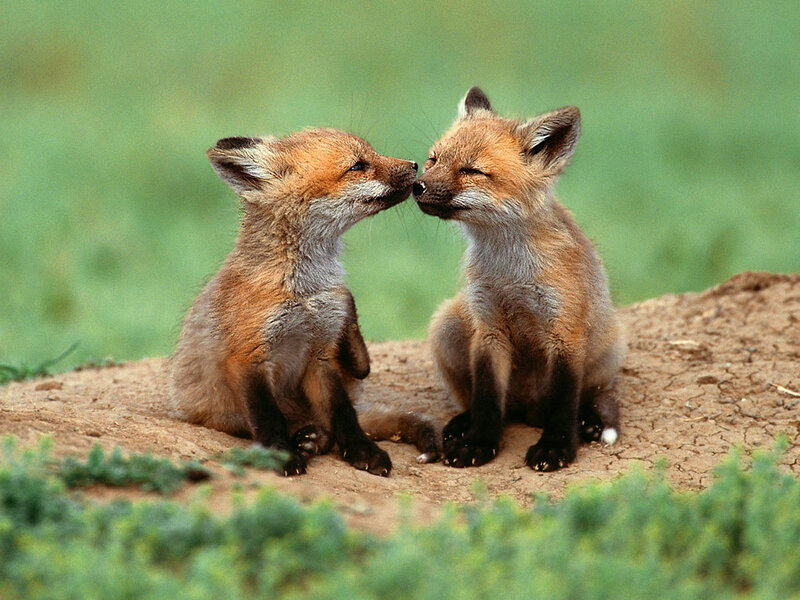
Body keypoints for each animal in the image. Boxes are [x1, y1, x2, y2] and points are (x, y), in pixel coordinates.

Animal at [170, 128, 440, 477]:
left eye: (371, 153)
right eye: (357, 166)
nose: (415, 165)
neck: (305, 292)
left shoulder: (320, 354)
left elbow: (343, 414)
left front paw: (362, 451)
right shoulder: (247, 357)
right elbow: (268, 418)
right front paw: (281, 456)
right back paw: (306, 439)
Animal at [412, 87, 625, 471]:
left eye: (471, 170)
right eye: (433, 160)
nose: (416, 186)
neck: (509, 271)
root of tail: (527, 408)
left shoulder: (565, 332)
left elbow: (562, 403)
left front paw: (556, 448)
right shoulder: (488, 326)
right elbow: (486, 399)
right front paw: (479, 442)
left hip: (609, 347)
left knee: (587, 396)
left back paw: (586, 420)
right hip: (446, 324)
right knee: (492, 405)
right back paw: (462, 423)